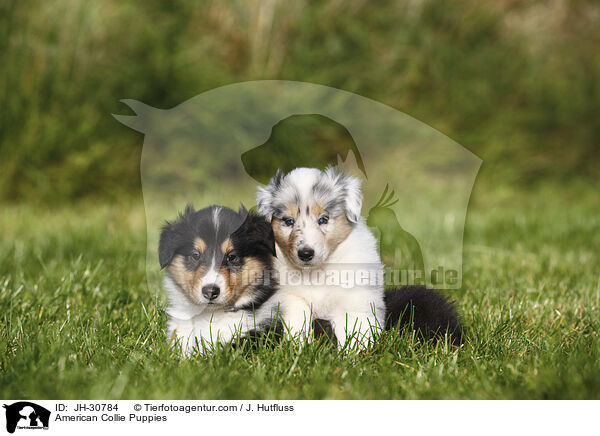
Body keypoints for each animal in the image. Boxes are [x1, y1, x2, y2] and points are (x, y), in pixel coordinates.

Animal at [256, 165, 386, 350]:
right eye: (289, 221)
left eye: (323, 219)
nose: (305, 254)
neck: (314, 272)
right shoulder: (288, 296)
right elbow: (298, 317)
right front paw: (300, 347)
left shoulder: (352, 298)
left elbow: (353, 329)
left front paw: (353, 354)